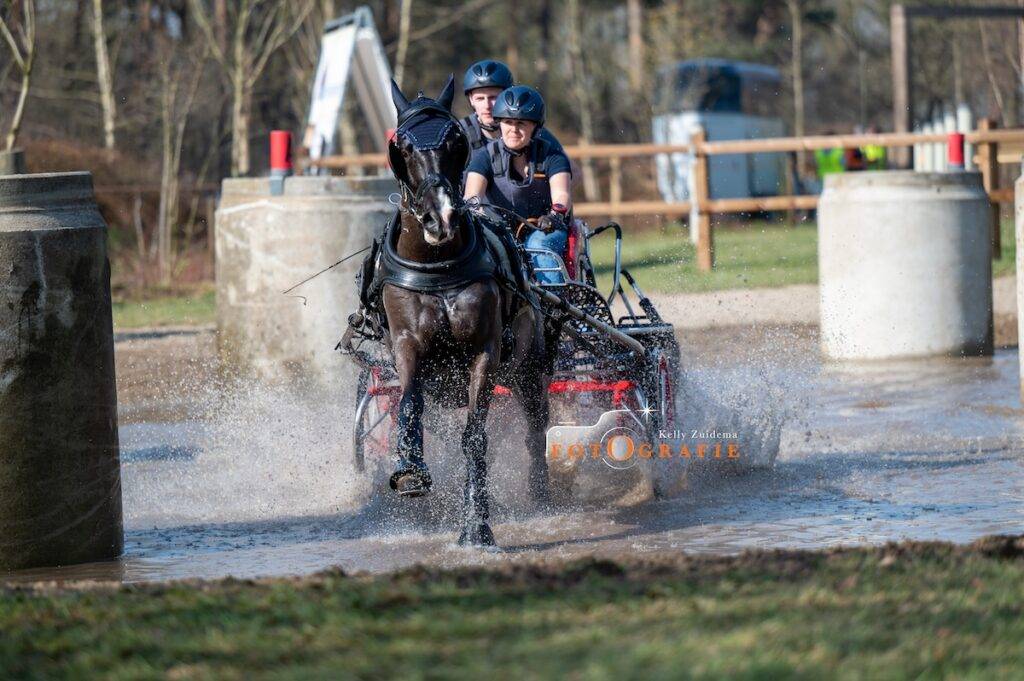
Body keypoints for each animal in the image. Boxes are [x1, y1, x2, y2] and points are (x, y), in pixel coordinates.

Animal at [373, 75, 552, 547]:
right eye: (403, 144)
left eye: (455, 139)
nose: (442, 217)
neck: (437, 267)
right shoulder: (407, 345)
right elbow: (409, 406)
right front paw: (411, 471)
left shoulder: (484, 350)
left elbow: (475, 436)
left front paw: (476, 525)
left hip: (531, 368)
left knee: (536, 428)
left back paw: (541, 492)